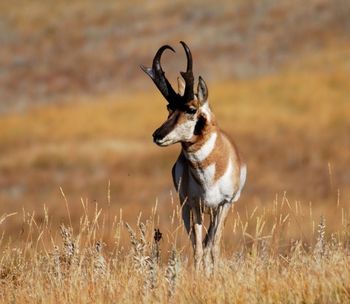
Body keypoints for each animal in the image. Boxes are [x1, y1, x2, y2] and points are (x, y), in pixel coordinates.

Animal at [140, 41, 246, 270]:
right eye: (169, 107)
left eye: (190, 109)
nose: (157, 135)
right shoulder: (195, 206)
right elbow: (198, 249)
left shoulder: (223, 205)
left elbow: (214, 248)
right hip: (185, 210)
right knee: (200, 244)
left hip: (216, 211)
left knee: (210, 244)